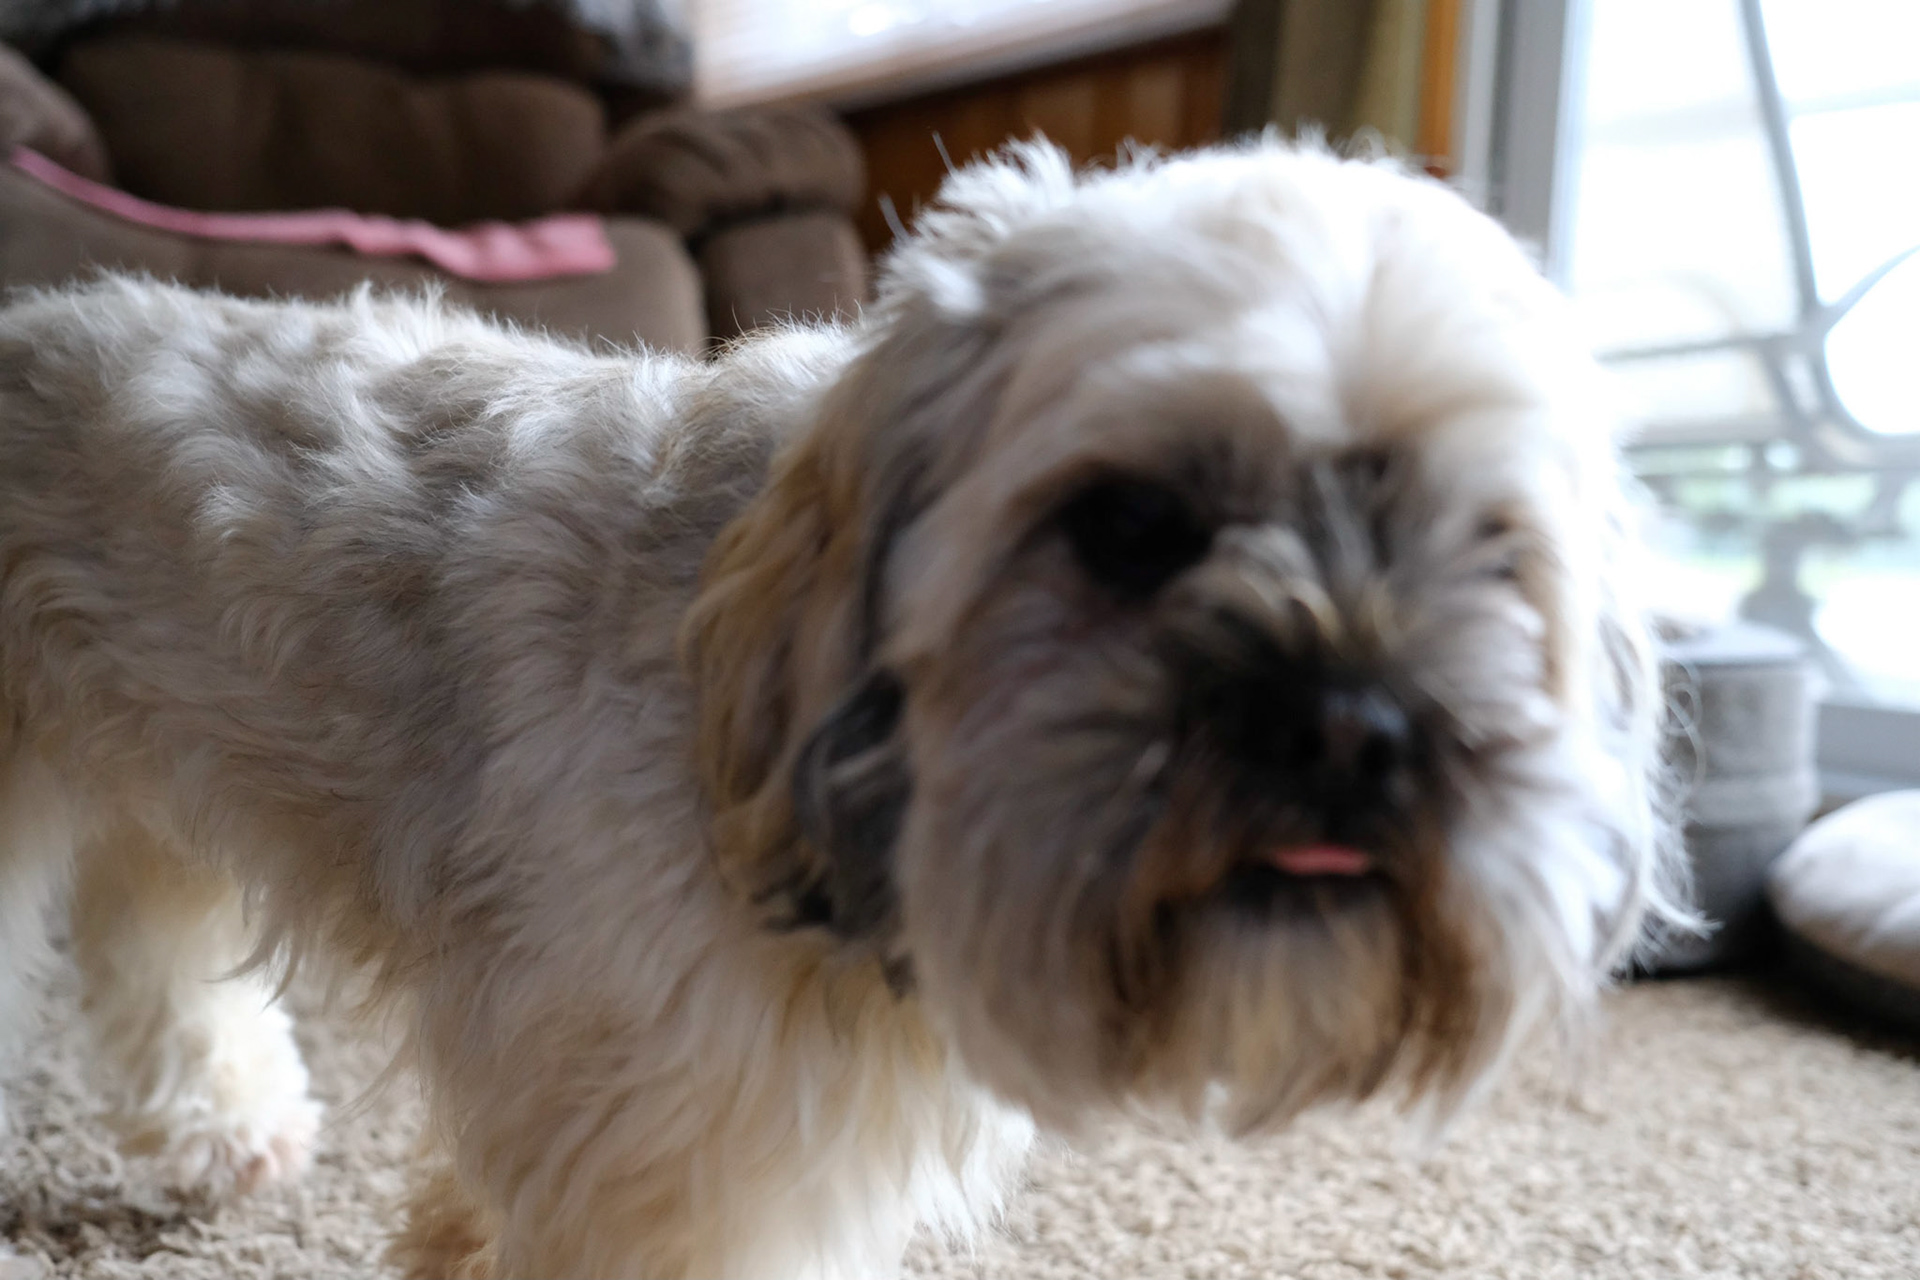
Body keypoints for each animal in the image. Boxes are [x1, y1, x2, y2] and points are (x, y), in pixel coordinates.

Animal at [0, 140, 1686, 1278]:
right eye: (1132, 528)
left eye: (1493, 548)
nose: (1352, 727)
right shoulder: (670, 1159)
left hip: (165, 781)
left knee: (149, 943)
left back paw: (228, 1130)